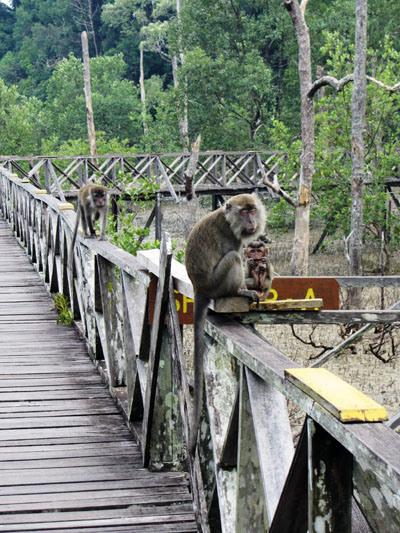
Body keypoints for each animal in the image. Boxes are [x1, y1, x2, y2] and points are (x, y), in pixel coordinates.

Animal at [184, 193, 266, 456]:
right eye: (244, 212)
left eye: (252, 210)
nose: (251, 221)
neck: (229, 221)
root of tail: (199, 288)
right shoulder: (232, 236)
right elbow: (235, 253)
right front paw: (246, 287)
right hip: (216, 283)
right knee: (232, 258)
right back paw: (239, 291)